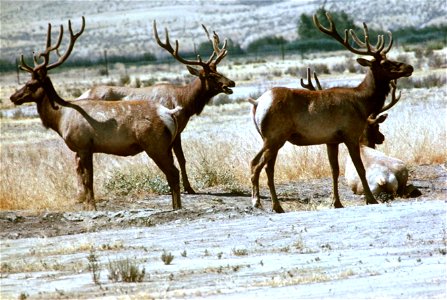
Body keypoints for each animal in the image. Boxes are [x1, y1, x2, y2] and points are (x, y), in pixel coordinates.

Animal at [9, 15, 189, 209]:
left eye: (30, 84)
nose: (13, 97)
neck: (61, 119)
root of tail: (169, 113)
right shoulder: (83, 149)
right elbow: (84, 178)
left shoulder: (84, 145)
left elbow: (89, 180)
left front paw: (92, 207)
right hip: (166, 145)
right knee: (172, 172)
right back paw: (175, 205)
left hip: (155, 145)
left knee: (173, 172)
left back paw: (177, 207)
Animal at [78, 21, 236, 195]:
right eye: (210, 76)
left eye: (217, 70)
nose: (231, 83)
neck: (185, 102)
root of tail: (81, 95)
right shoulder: (175, 131)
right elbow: (180, 159)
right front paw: (188, 188)